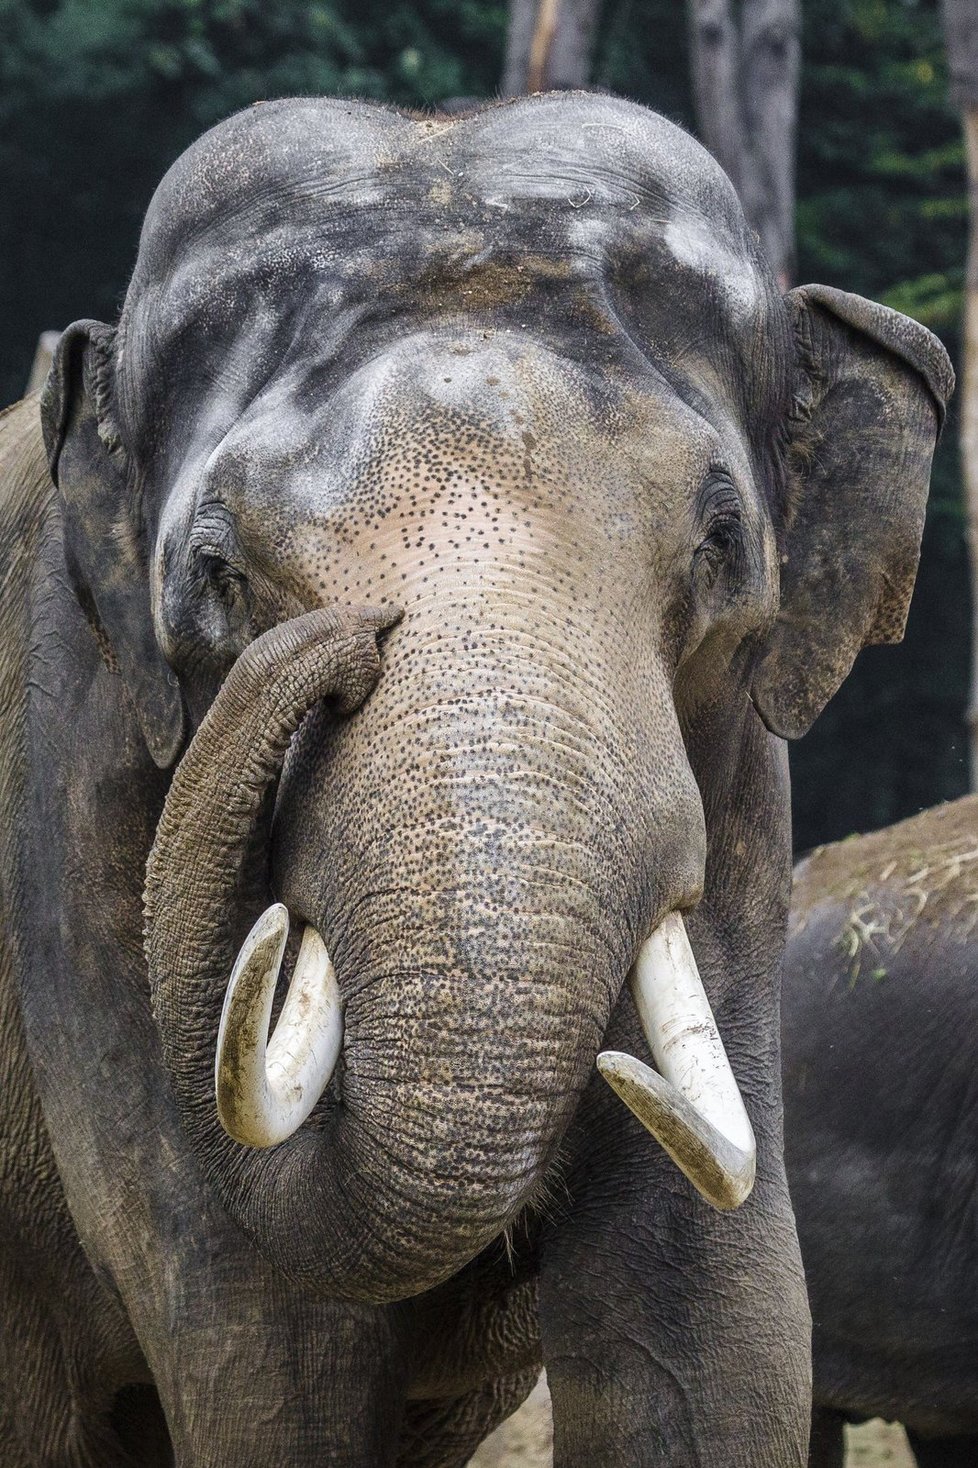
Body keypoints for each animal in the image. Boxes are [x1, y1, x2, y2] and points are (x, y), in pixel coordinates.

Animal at [0, 94, 945, 1468]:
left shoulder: (744, 814)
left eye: (721, 542)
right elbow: (265, 1348)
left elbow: (710, 1323)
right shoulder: (79, 797)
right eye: (218, 573)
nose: (344, 643)